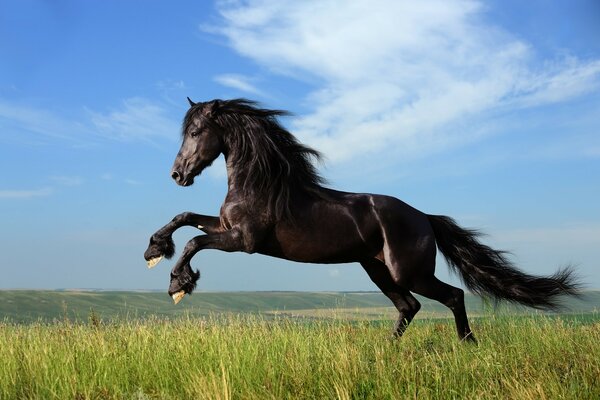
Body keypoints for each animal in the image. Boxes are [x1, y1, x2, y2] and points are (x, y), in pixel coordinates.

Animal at [143, 97, 580, 340]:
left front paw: (178, 284)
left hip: (409, 271)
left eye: (196, 132)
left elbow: (195, 241)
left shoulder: (244, 241)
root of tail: (425, 218)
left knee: (451, 296)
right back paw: (385, 350)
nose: (177, 175)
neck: (260, 184)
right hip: (377, 270)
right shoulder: (228, 228)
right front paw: (154, 250)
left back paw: (468, 344)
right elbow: (185, 217)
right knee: (409, 307)